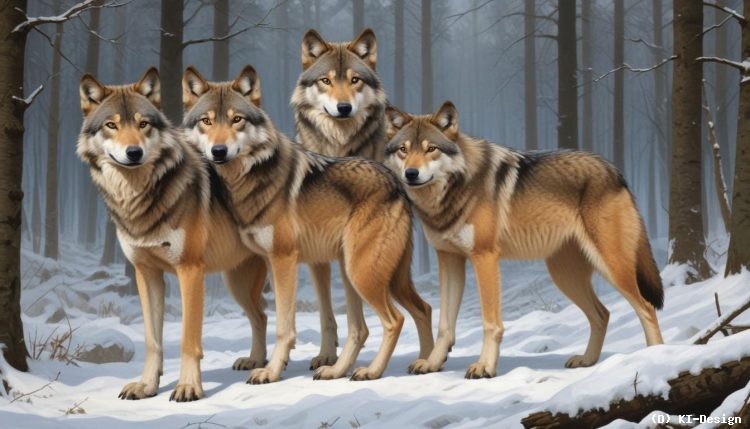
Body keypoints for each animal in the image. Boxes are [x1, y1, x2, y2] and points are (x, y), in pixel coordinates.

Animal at [77, 68, 268, 401]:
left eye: (143, 124)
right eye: (112, 125)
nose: (134, 152)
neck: (140, 200)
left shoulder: (190, 271)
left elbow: (188, 339)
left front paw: (189, 387)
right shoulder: (146, 273)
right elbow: (153, 340)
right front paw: (146, 386)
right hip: (237, 285)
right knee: (262, 316)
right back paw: (255, 361)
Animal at [182, 65, 434, 383]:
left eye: (236, 119)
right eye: (206, 121)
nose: (218, 151)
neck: (246, 179)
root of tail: (397, 183)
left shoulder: (284, 259)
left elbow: (284, 327)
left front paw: (271, 372)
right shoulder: (273, 261)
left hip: (363, 274)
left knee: (395, 320)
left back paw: (372, 371)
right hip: (371, 275)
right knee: (397, 317)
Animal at [290, 28, 388, 368]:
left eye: (355, 80)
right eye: (326, 81)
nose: (343, 108)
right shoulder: (316, 253)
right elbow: (326, 312)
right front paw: (327, 354)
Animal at [383, 102, 664, 379]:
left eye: (431, 149)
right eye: (403, 150)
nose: (411, 173)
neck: (454, 189)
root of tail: (615, 171)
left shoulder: (485, 257)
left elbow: (490, 322)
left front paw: (485, 367)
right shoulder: (449, 259)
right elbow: (445, 324)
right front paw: (432, 363)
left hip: (611, 267)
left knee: (646, 308)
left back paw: (655, 356)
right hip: (564, 275)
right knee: (603, 314)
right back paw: (587, 360)